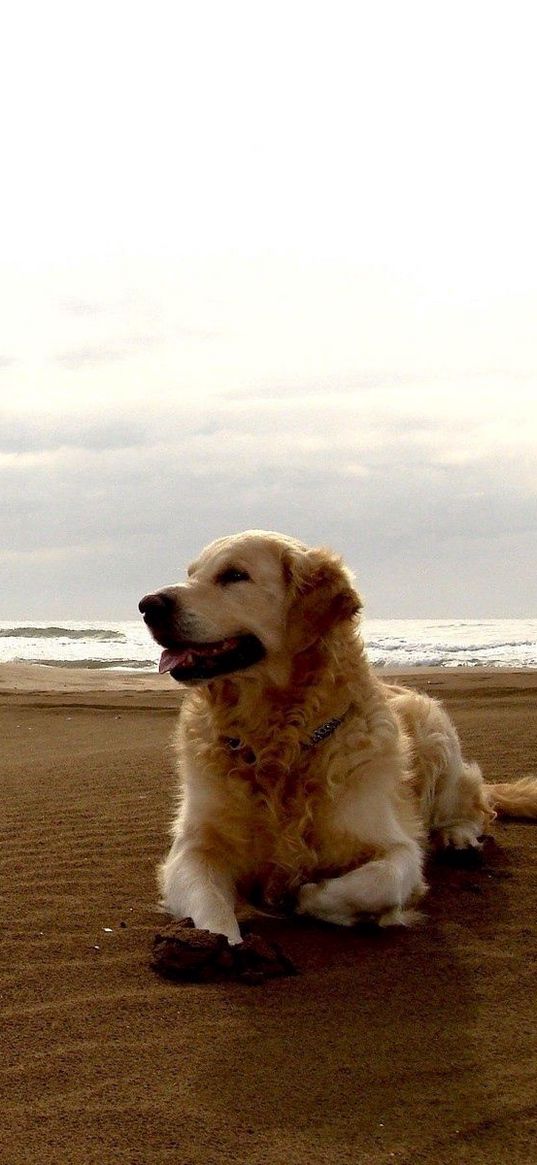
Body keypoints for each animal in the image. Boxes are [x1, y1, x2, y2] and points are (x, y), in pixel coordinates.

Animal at [139, 531, 535, 945]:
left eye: (234, 575)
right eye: (191, 574)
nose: (148, 605)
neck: (279, 744)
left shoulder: (397, 847)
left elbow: (372, 884)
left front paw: (302, 897)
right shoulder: (193, 850)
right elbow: (211, 909)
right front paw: (220, 945)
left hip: (436, 734)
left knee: (476, 805)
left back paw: (458, 837)